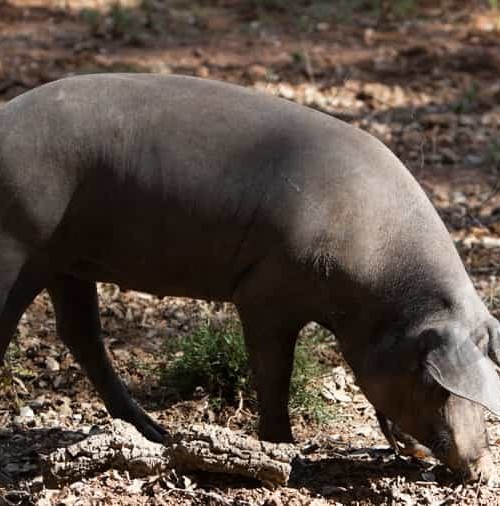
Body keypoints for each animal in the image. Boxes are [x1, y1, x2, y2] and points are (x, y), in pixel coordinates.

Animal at [0, 74, 500, 482]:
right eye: (433, 381)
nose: (480, 468)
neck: (377, 285)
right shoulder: (265, 292)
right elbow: (274, 371)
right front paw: (287, 452)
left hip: (66, 261)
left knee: (80, 334)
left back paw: (156, 433)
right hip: (20, 245)